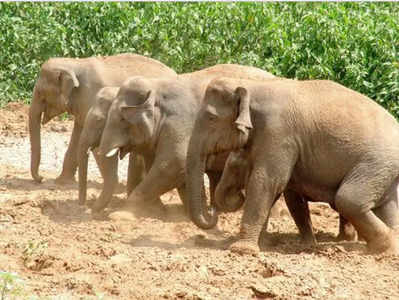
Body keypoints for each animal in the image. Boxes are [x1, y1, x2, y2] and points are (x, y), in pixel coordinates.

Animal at [29, 54, 177, 185]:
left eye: (41, 93)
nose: (41, 179)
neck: (74, 63)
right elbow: (78, 136)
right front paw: (61, 182)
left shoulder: (91, 95)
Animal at [96, 63, 278, 219]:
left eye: (122, 119)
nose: (92, 211)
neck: (157, 85)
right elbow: (178, 170)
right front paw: (169, 213)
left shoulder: (180, 123)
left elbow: (174, 163)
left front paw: (120, 215)